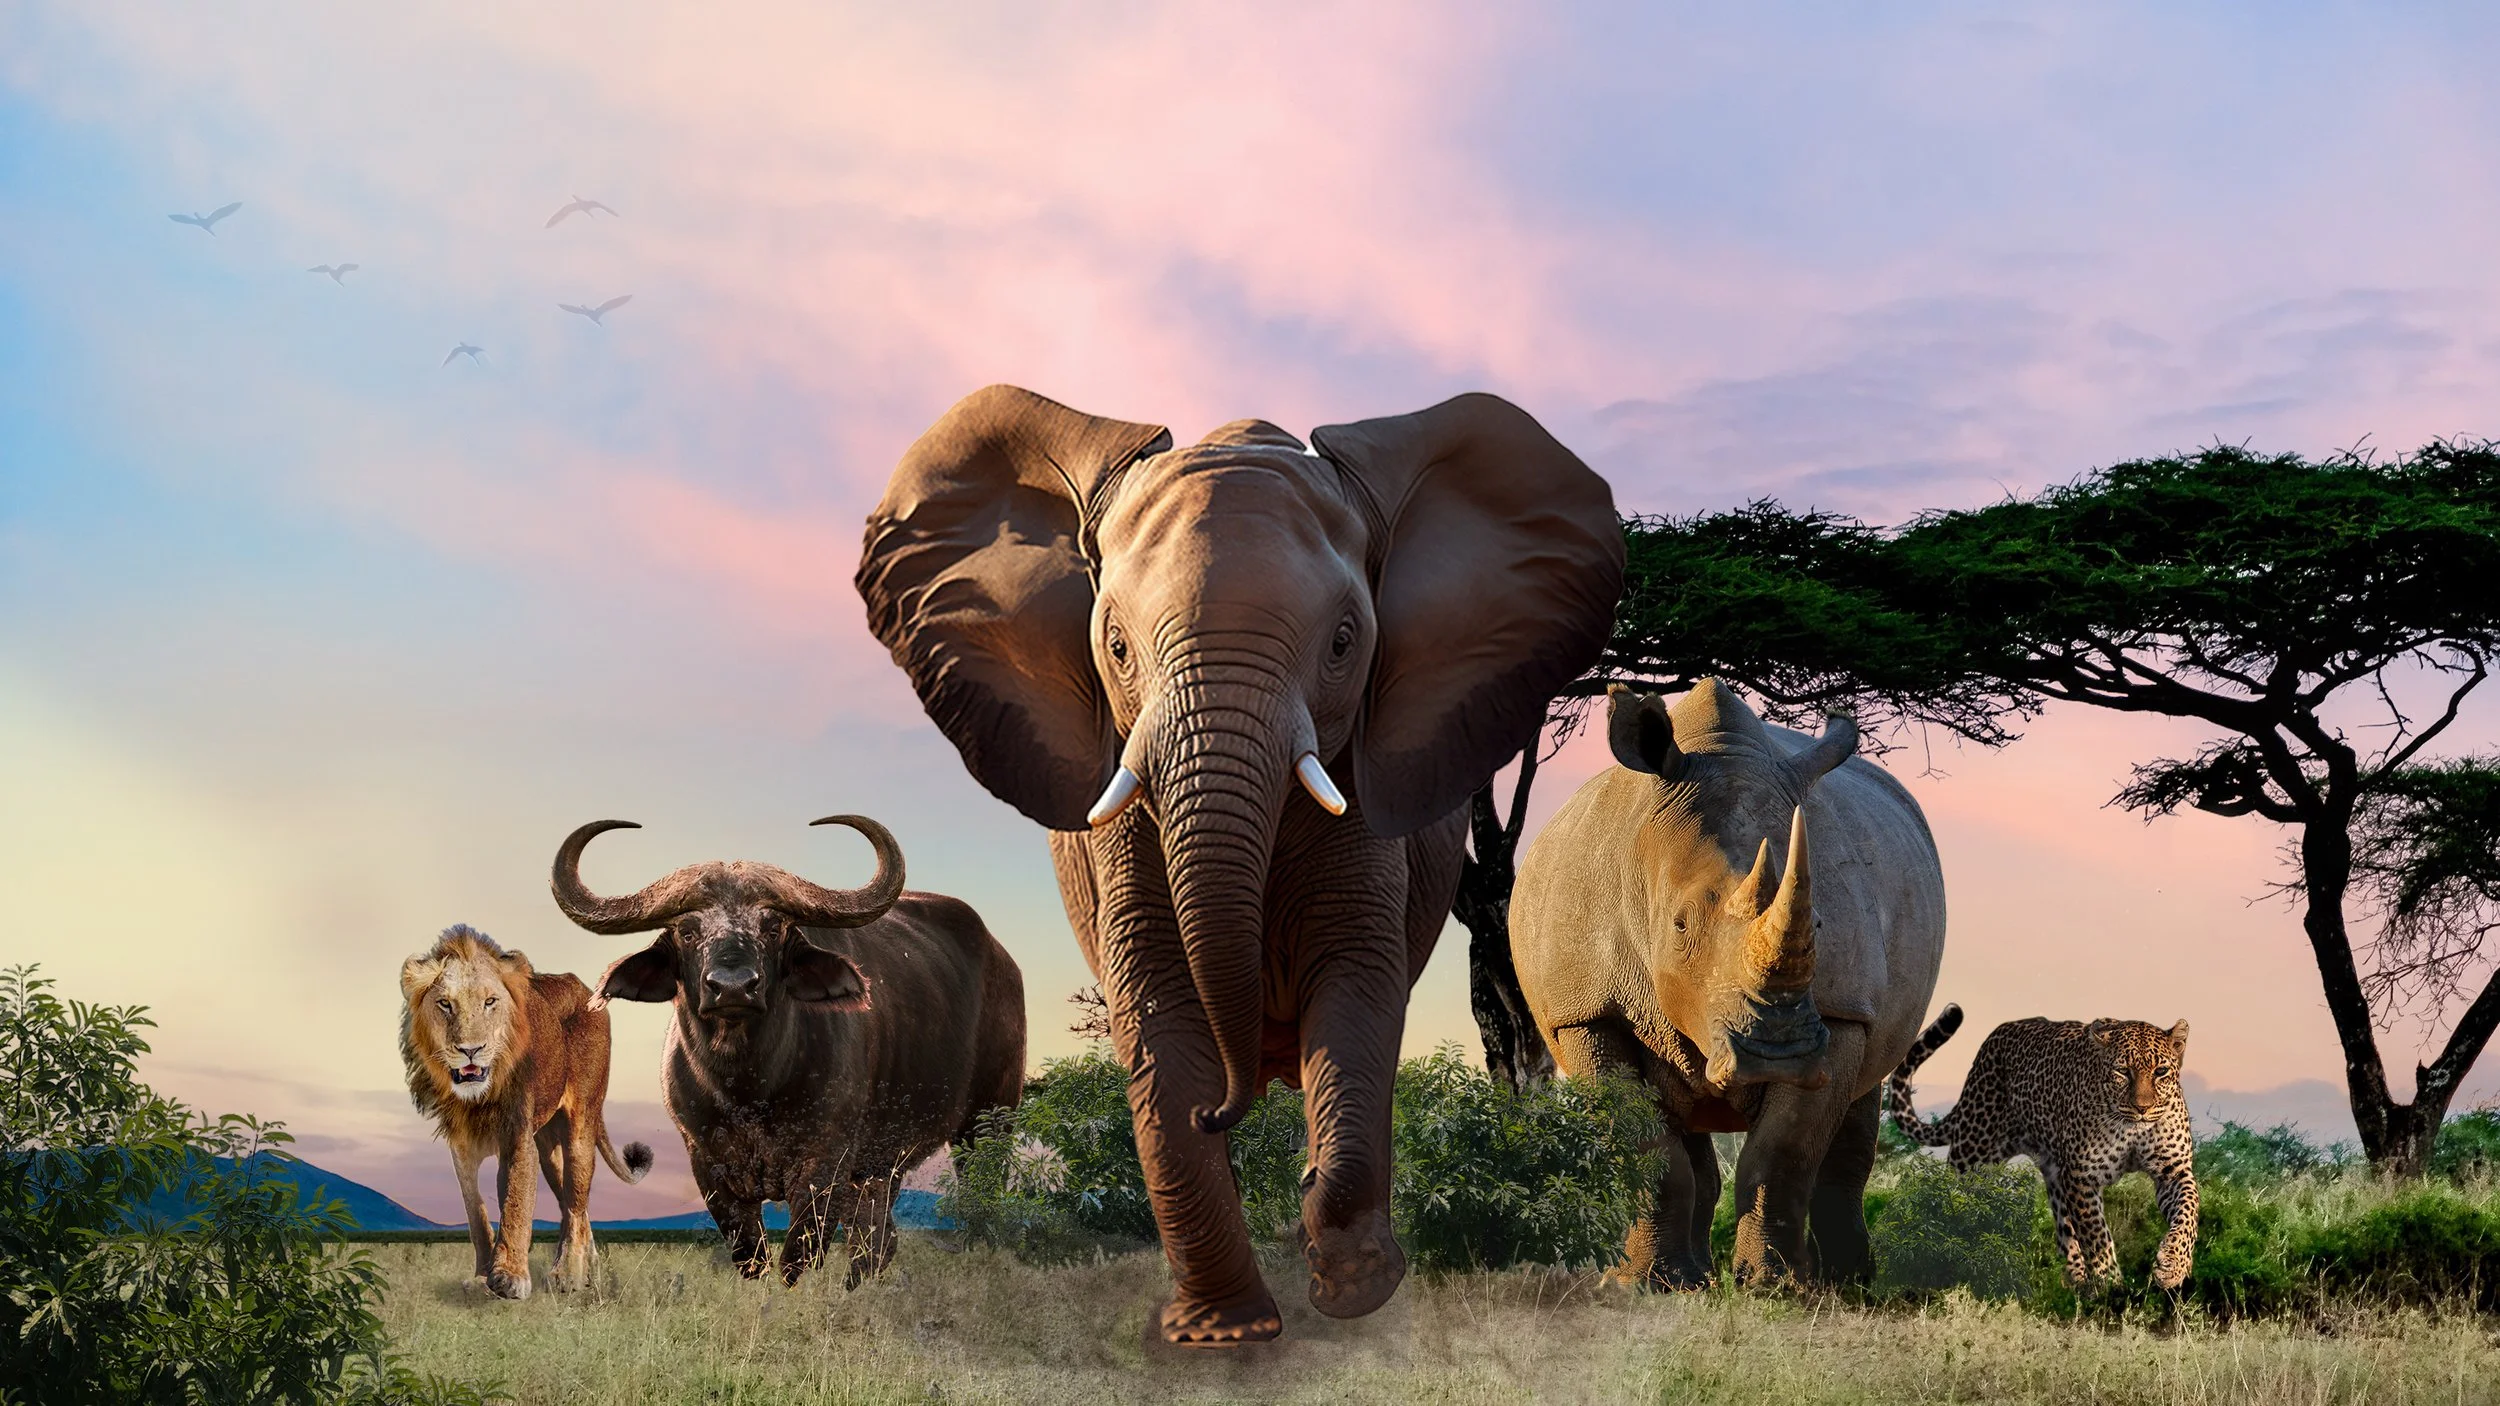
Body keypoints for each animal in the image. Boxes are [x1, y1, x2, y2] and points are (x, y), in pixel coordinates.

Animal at [856, 386, 1622, 1345]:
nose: (1220, 1107)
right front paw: (1224, 1334)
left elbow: (1354, 978)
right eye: (1114, 646)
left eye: (1344, 642)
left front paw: (1352, 1284)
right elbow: (1155, 993)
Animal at [1509, 681, 1945, 1289]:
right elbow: (1646, 1146)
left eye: (1817, 925)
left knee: (1859, 1102)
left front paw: (1775, 1286)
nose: (1775, 1054)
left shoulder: (1841, 1015)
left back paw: (1848, 1285)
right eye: (1679, 925)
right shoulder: (1584, 1011)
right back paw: (1688, 1277)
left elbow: (1783, 1151)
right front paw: (1641, 1286)